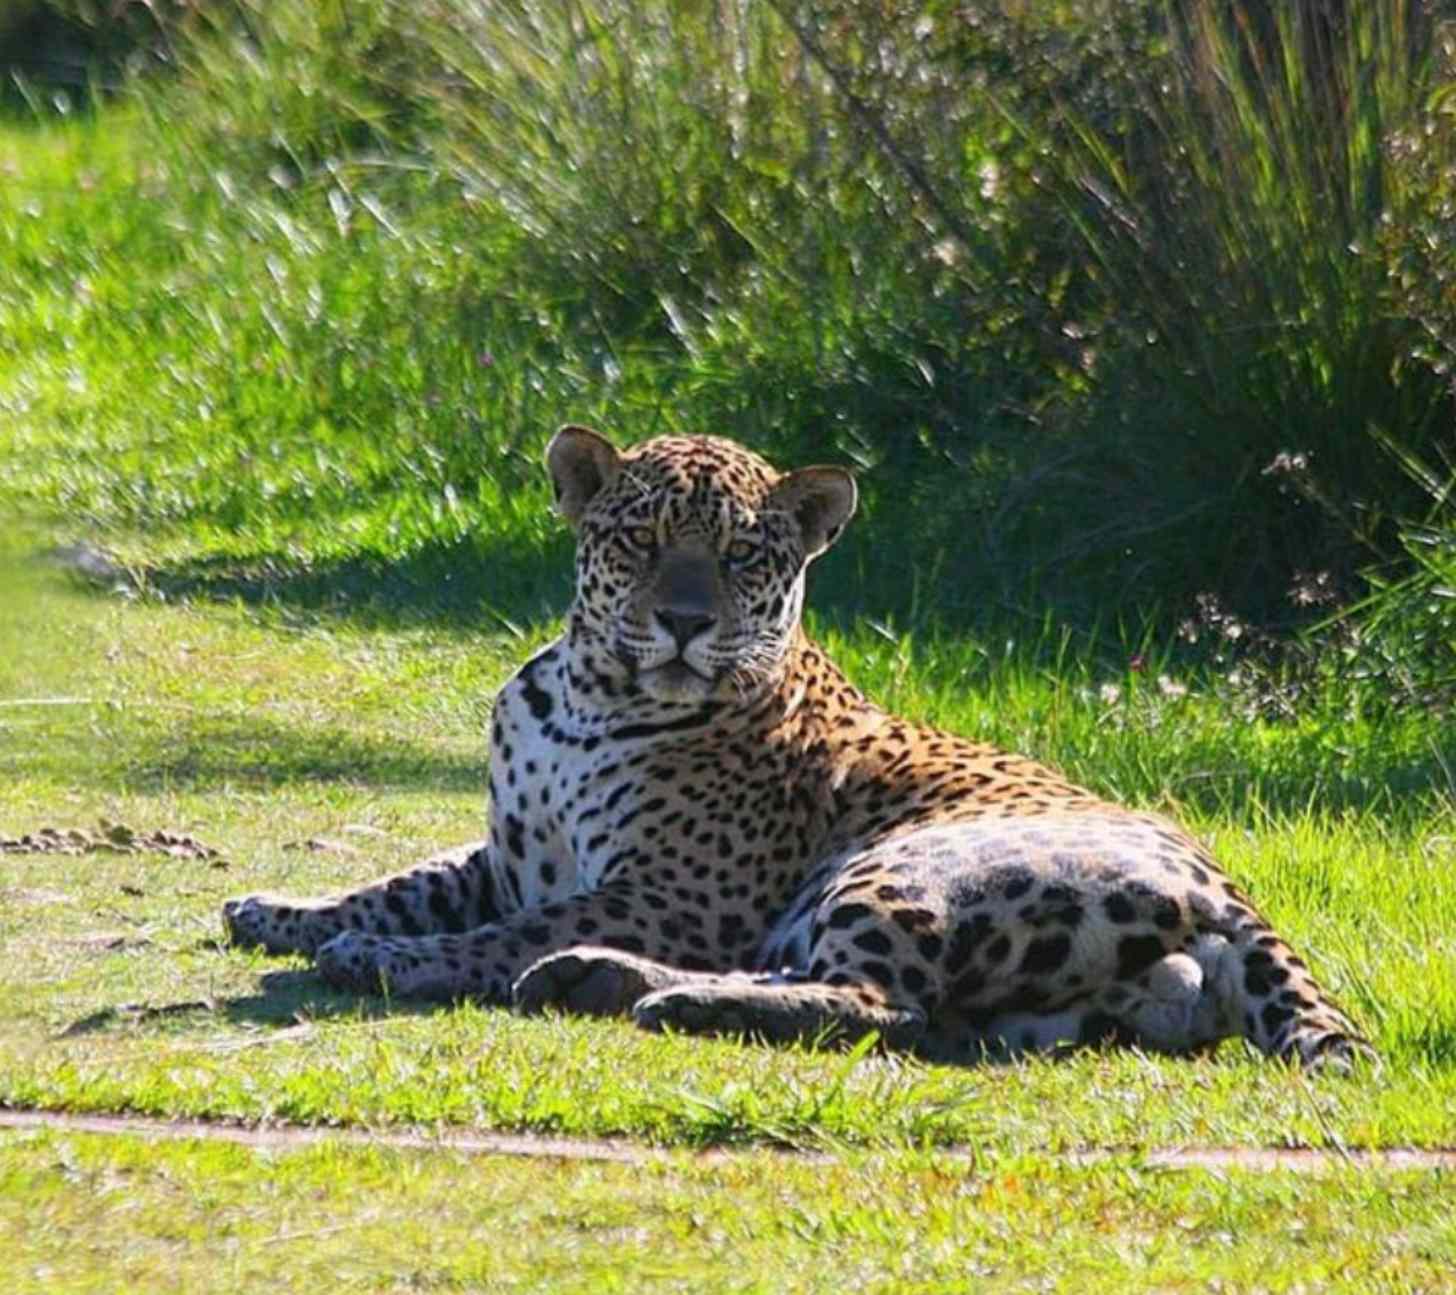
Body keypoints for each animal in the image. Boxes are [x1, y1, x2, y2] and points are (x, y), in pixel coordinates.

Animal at [224, 426, 1371, 1069]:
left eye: (742, 556)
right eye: (642, 540)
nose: (685, 620)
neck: (588, 695)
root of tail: (1226, 887)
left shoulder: (675, 893)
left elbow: (497, 932)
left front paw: (393, 957)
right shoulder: (509, 855)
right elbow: (406, 880)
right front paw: (283, 909)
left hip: (900, 867)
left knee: (882, 1006)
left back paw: (645, 990)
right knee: (899, 1006)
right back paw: (599, 980)